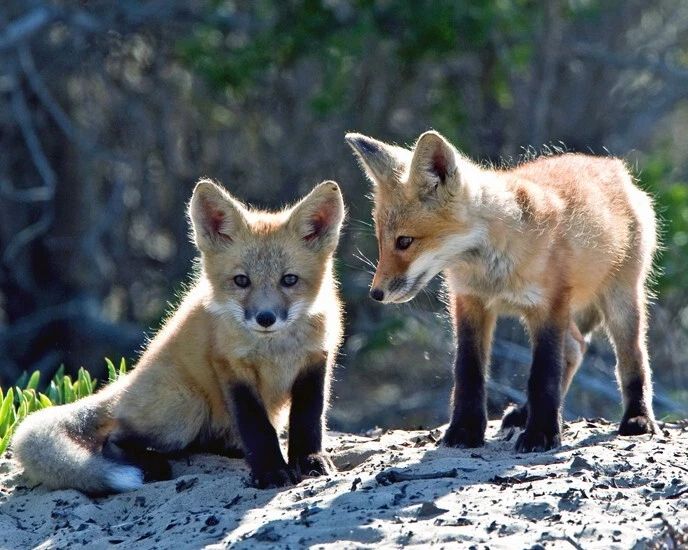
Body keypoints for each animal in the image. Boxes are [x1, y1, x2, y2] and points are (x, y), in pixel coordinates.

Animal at [12, 178, 345, 493]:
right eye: (241, 281)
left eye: (289, 280)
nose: (265, 318)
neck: (276, 350)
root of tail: (126, 383)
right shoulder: (231, 368)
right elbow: (257, 429)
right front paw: (270, 471)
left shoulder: (315, 361)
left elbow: (308, 422)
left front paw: (310, 461)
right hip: (186, 407)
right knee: (113, 438)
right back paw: (150, 465)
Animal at [346, 130, 657, 452]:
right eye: (382, 242)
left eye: (405, 241)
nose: (376, 294)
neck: (492, 269)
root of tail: (612, 165)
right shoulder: (469, 302)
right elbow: (468, 372)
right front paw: (465, 429)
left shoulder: (549, 304)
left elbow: (543, 374)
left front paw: (541, 434)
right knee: (575, 347)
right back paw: (524, 412)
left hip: (620, 300)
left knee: (632, 358)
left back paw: (637, 418)